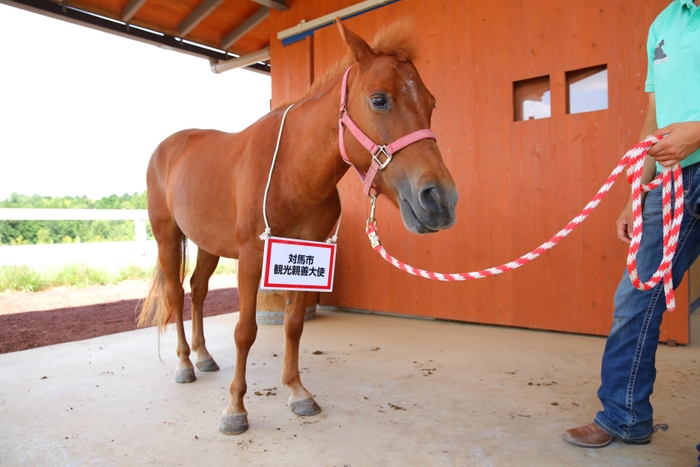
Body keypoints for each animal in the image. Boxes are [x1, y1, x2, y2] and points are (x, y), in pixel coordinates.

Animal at [139, 18, 462, 436]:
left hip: (208, 242)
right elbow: (245, 332)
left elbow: (293, 325)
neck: (292, 169)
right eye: (379, 99)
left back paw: (204, 356)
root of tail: (170, 147)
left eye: (431, 103)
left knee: (197, 290)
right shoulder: (253, 255)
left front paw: (297, 392)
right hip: (167, 236)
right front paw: (235, 409)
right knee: (176, 295)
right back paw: (184, 364)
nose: (440, 200)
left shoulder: (308, 252)